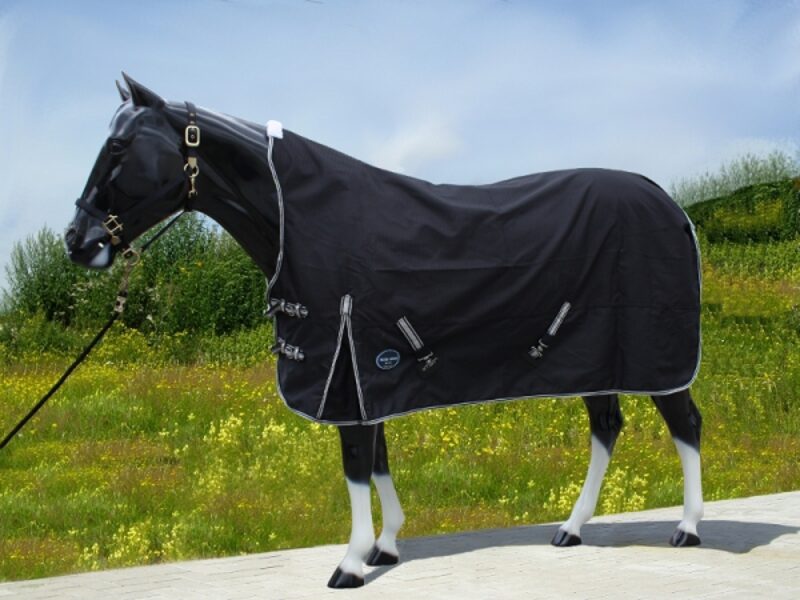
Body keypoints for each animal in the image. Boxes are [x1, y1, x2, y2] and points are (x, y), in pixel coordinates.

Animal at [65, 74, 704, 589]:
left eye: (119, 146)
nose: (78, 241)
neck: (298, 217)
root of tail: (669, 203)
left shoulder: (346, 365)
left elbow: (355, 465)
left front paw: (350, 564)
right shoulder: (364, 371)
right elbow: (377, 460)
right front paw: (386, 546)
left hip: (657, 358)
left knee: (685, 425)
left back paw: (688, 529)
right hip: (595, 358)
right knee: (606, 428)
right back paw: (571, 529)